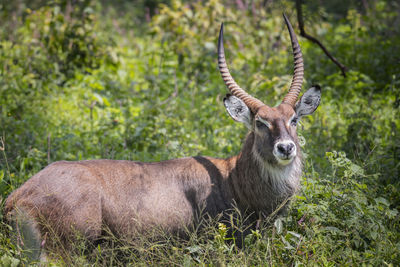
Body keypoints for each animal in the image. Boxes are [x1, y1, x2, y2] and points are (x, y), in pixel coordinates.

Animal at [4, 13, 320, 262]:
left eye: (294, 119)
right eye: (259, 122)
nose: (285, 148)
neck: (233, 179)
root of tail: (16, 197)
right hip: (68, 244)